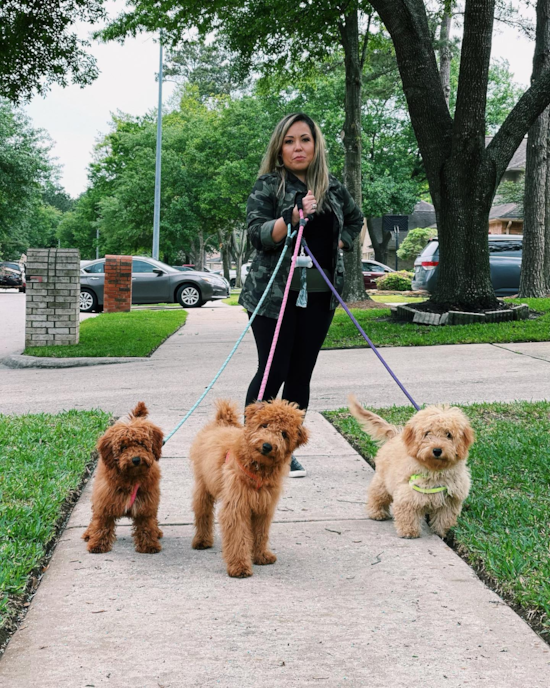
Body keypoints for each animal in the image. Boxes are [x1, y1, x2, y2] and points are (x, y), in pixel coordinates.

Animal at [82, 404, 164, 552]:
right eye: (123, 447)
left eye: (141, 444)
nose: (136, 459)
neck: (131, 478)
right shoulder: (105, 500)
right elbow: (101, 524)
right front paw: (97, 544)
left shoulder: (146, 503)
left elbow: (146, 526)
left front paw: (149, 545)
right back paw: (88, 533)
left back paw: (157, 532)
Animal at [190, 400, 310, 576]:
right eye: (264, 425)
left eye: (284, 434)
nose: (267, 446)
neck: (258, 468)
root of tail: (222, 422)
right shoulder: (236, 506)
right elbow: (238, 536)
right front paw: (239, 565)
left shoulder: (263, 507)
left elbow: (261, 533)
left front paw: (261, 556)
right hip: (203, 485)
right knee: (202, 512)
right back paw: (202, 540)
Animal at [350, 398, 474, 536]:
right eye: (427, 433)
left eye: (448, 434)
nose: (437, 450)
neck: (435, 470)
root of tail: (395, 435)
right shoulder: (407, 493)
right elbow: (407, 513)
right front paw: (409, 531)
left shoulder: (451, 500)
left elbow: (445, 519)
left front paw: (441, 533)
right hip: (382, 480)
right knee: (376, 494)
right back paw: (377, 512)